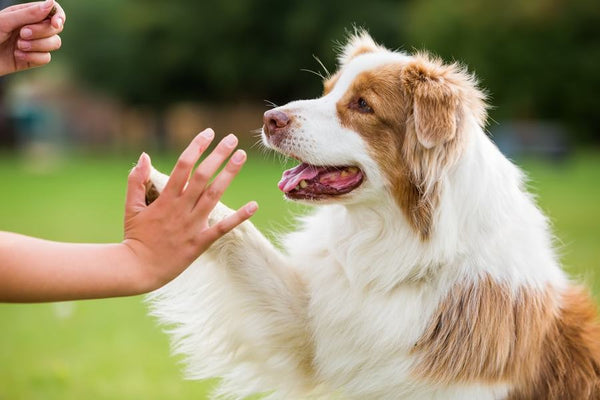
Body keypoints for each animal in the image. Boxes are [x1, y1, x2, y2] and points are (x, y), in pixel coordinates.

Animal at [145, 32, 600, 400]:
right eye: (326, 91)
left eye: (363, 105)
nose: (269, 118)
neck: (402, 245)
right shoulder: (312, 324)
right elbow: (243, 239)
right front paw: (170, 191)